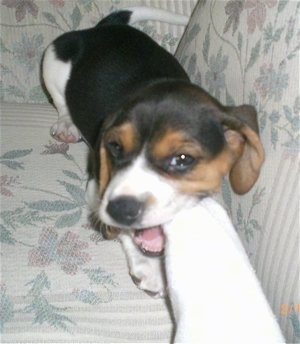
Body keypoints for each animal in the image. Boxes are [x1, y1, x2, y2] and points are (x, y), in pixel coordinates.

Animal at [42, 6, 264, 296]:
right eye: (115, 147)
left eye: (183, 159)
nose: (119, 209)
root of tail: (105, 27)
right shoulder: (96, 189)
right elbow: (125, 232)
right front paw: (147, 266)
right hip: (53, 57)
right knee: (61, 101)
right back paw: (67, 124)